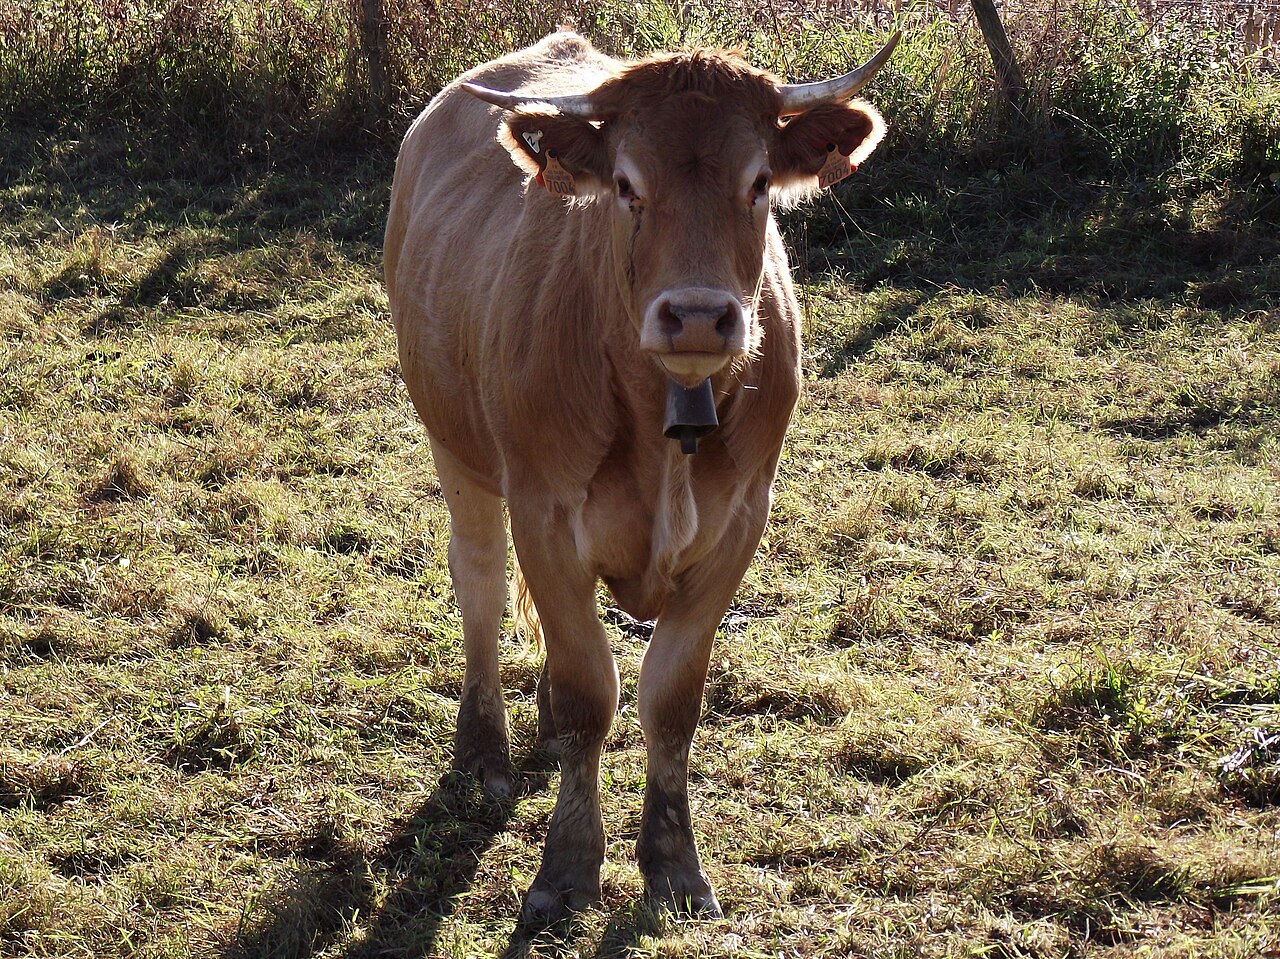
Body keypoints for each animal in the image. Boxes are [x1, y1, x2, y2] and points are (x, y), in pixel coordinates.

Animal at [384, 28, 897, 922]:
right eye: (626, 186)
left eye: (757, 182)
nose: (696, 315)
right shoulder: (545, 513)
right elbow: (592, 692)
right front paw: (566, 865)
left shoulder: (739, 523)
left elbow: (669, 697)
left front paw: (673, 862)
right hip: (457, 448)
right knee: (479, 582)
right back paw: (484, 750)